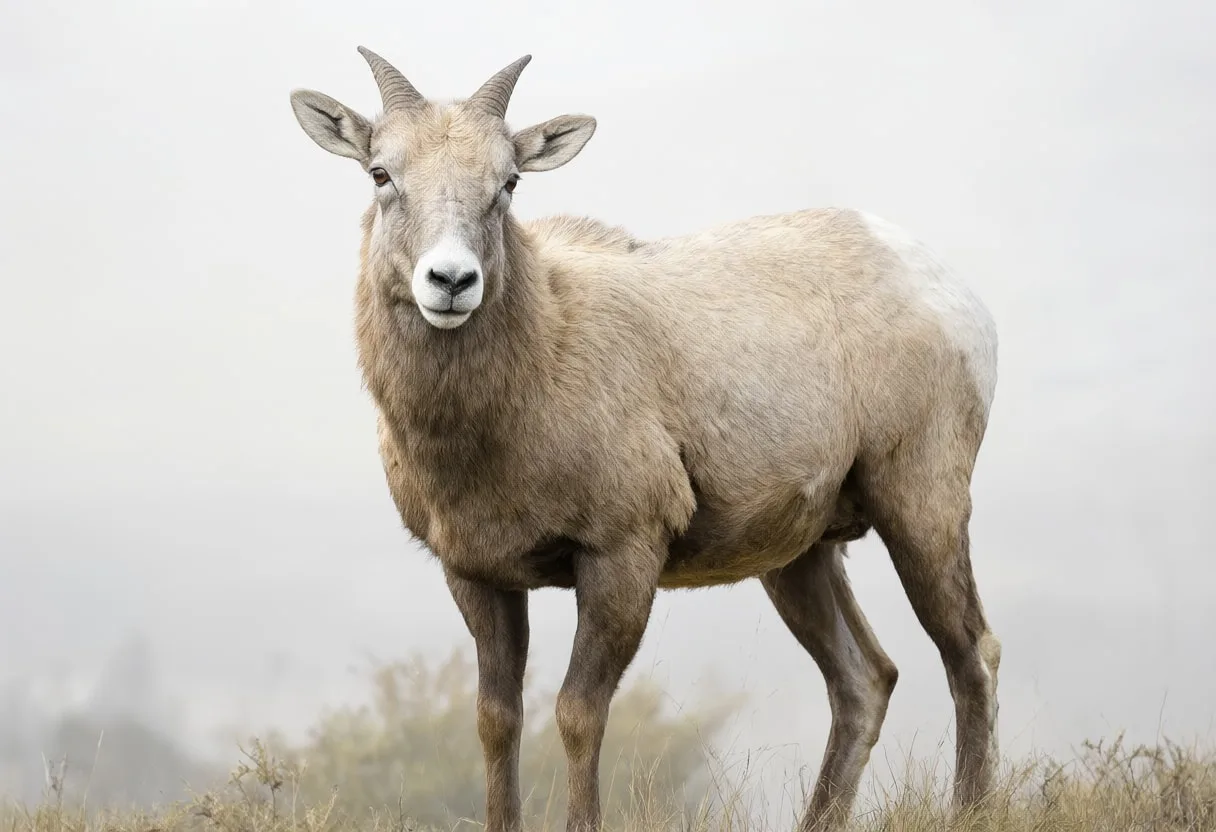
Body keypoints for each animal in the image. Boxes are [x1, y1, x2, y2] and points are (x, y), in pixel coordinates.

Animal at [288, 46, 1003, 832]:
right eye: (381, 173)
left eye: (508, 182)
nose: (450, 281)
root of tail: (957, 298)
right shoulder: (477, 573)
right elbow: (497, 720)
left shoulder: (621, 555)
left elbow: (578, 715)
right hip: (801, 557)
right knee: (865, 679)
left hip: (922, 507)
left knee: (971, 654)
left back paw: (971, 808)